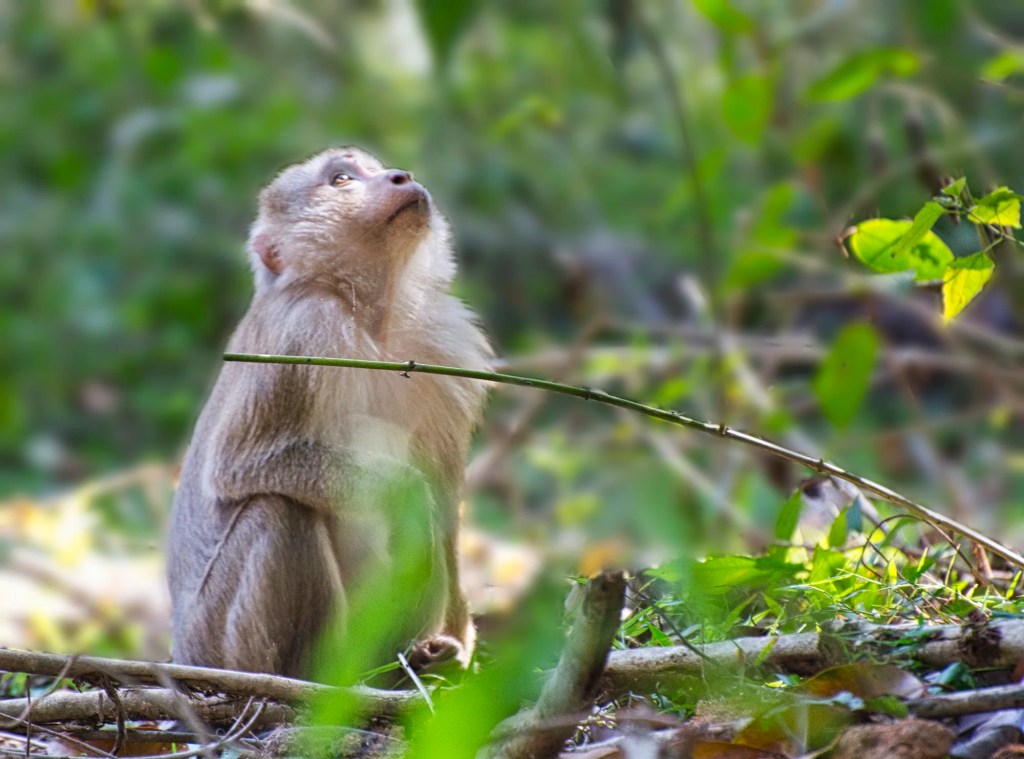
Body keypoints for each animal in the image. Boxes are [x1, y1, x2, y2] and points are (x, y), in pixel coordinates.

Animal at [166, 147, 492, 679]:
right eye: (341, 179)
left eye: (374, 169)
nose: (400, 176)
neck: (371, 320)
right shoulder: (303, 332)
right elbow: (239, 464)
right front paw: (407, 497)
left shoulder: (443, 350)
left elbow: (444, 498)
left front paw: (459, 644)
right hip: (223, 643)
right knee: (278, 510)